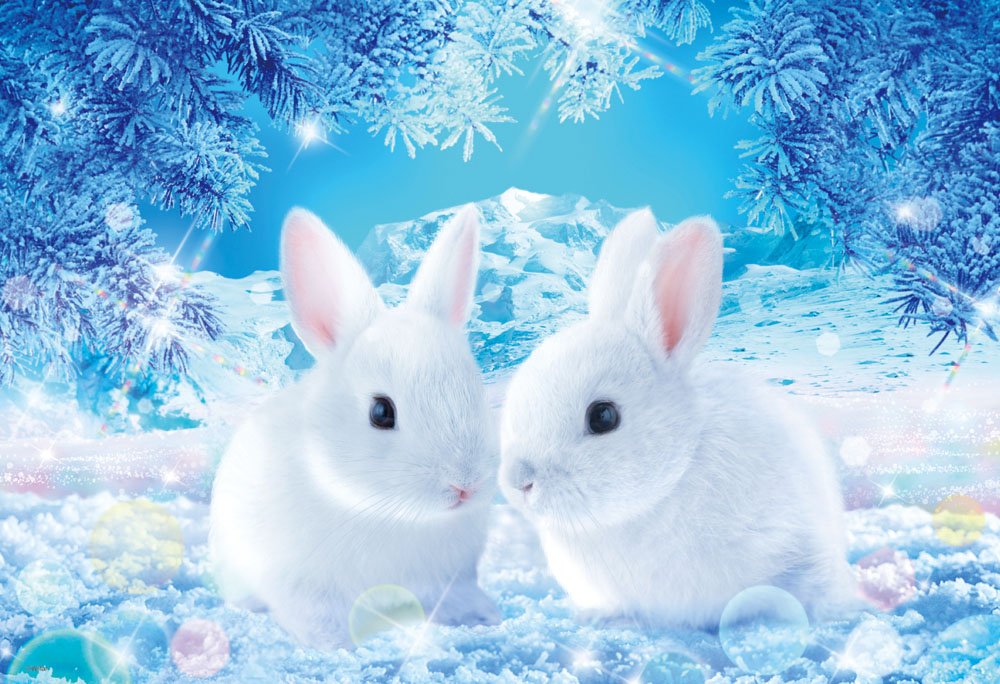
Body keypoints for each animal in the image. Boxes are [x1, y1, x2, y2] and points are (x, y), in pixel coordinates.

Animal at [210, 205, 501, 649]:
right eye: (381, 412)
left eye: (476, 390)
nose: (465, 485)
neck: (392, 512)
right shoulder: (302, 586)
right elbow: (317, 618)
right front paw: (336, 646)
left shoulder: (450, 578)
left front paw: (483, 616)